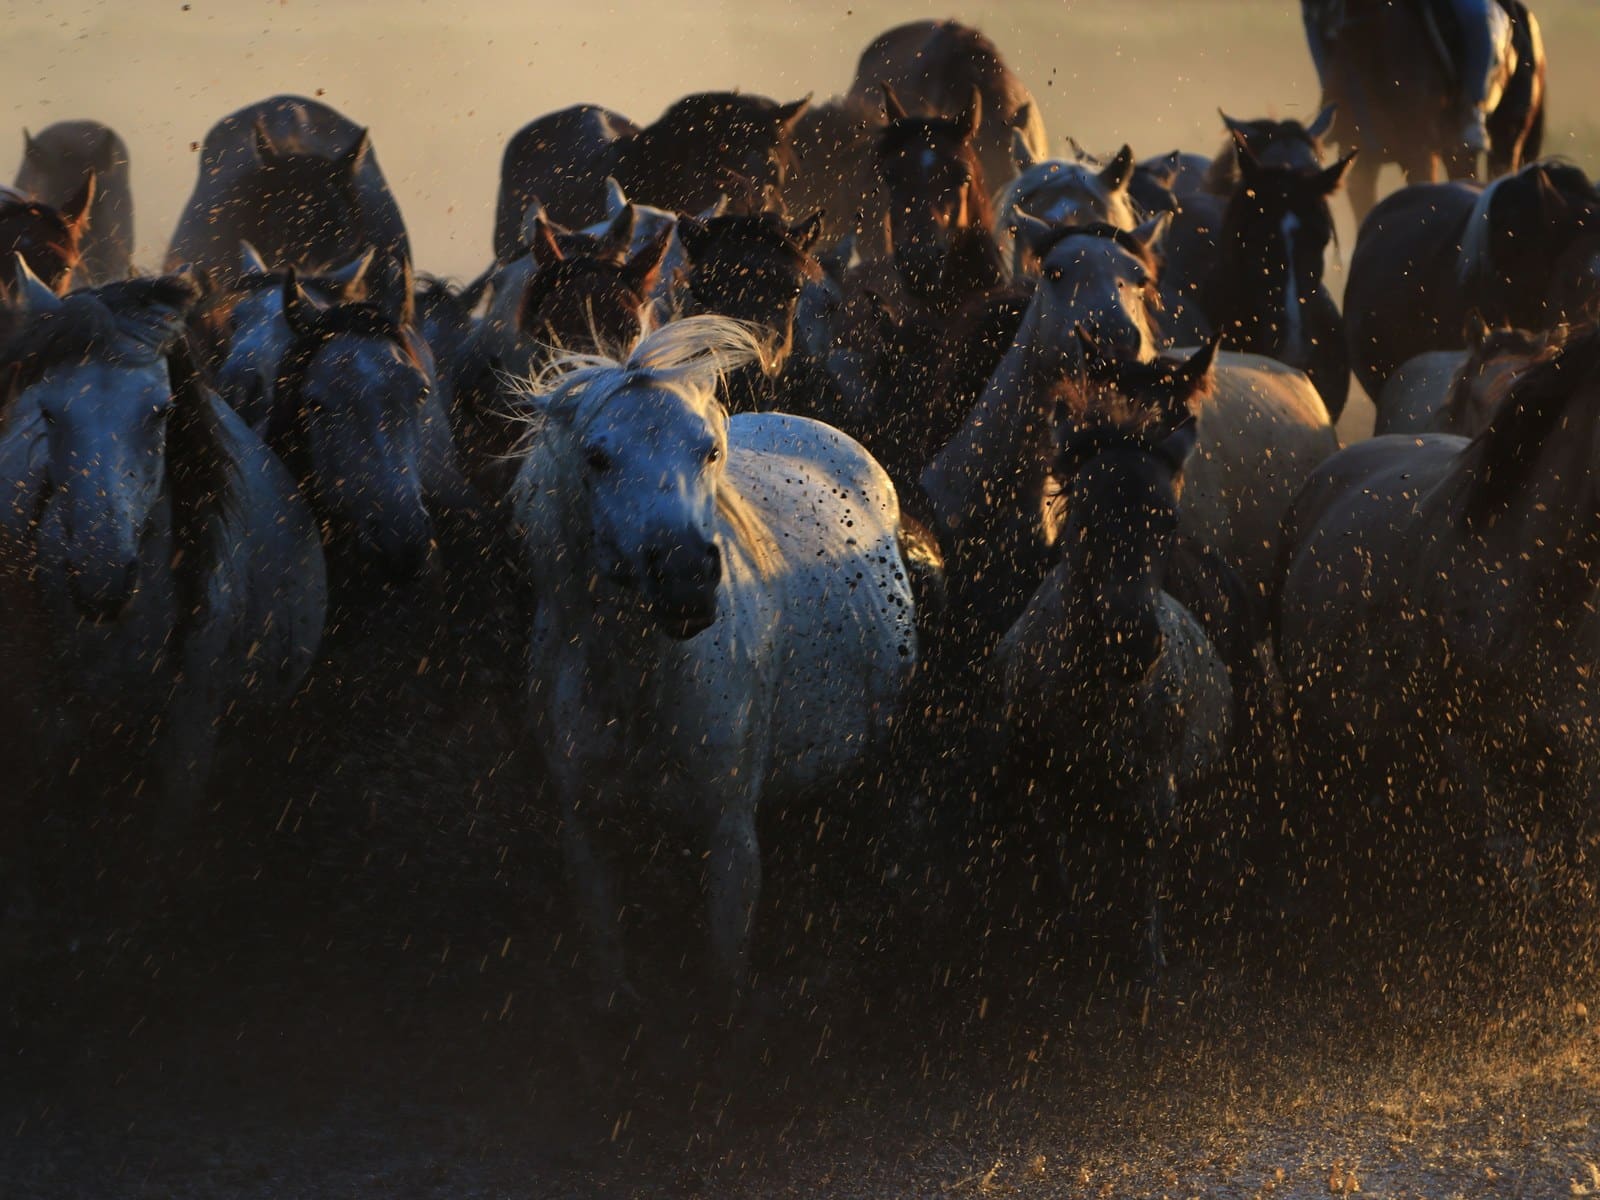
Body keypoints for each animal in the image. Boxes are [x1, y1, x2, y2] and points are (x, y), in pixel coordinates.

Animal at [508, 315, 917, 1012]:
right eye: (596, 457)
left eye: (709, 452)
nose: (685, 579)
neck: (639, 691)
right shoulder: (585, 827)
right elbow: (608, 955)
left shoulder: (729, 836)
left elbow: (723, 979)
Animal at [998, 341, 1232, 982]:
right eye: (1081, 511)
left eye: (1167, 520)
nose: (1135, 644)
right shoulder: (1033, 776)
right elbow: (1056, 861)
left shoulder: (1157, 791)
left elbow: (1146, 880)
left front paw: (1148, 964)